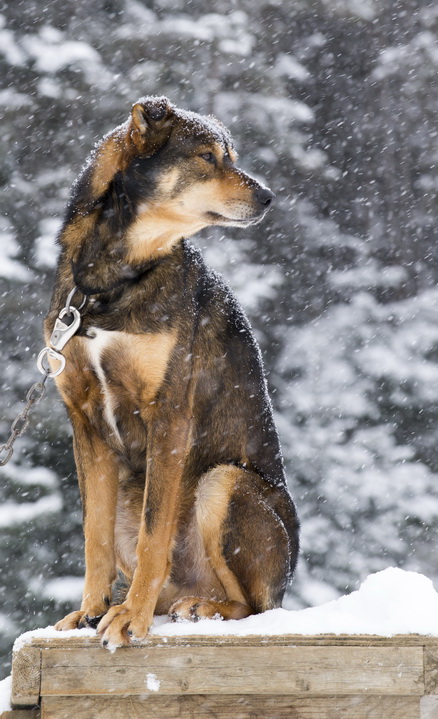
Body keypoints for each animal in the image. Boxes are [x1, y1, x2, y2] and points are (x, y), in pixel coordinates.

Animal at [44, 93, 300, 648]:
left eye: (230, 156)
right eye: (208, 157)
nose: (269, 197)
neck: (115, 281)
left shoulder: (169, 415)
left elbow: (153, 533)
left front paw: (130, 619)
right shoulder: (85, 423)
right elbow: (94, 535)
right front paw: (92, 611)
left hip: (222, 482)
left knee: (254, 608)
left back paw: (203, 607)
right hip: (132, 485)